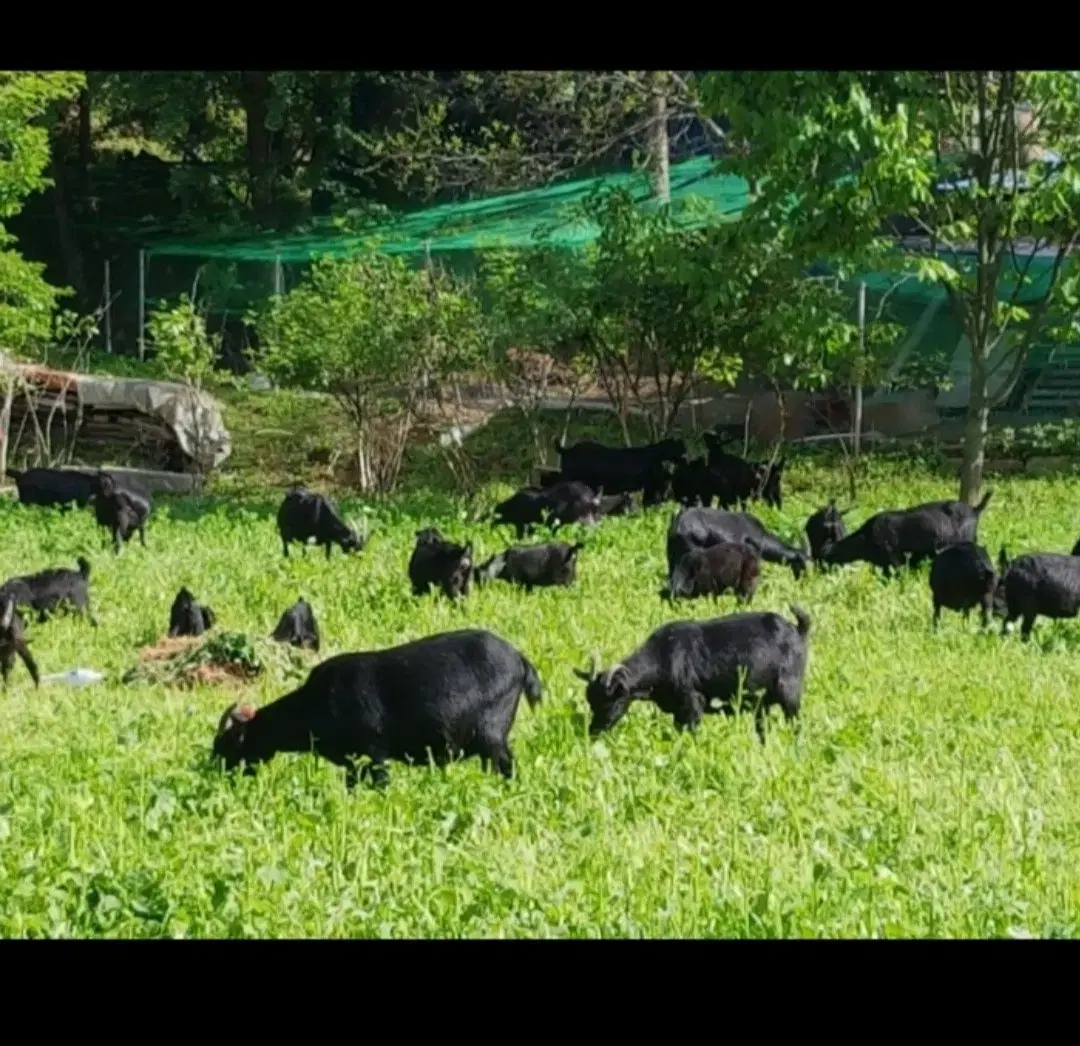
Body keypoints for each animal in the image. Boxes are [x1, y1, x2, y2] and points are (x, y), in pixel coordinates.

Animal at [211, 626, 544, 785]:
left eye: (227, 747)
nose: (213, 774)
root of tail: (520, 660)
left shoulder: (375, 752)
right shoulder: (352, 762)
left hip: (492, 733)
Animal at [574, 604, 812, 742]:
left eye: (611, 701)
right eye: (590, 703)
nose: (592, 732)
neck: (664, 656)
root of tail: (797, 629)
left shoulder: (692, 704)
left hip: (789, 693)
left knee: (797, 725)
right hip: (761, 704)